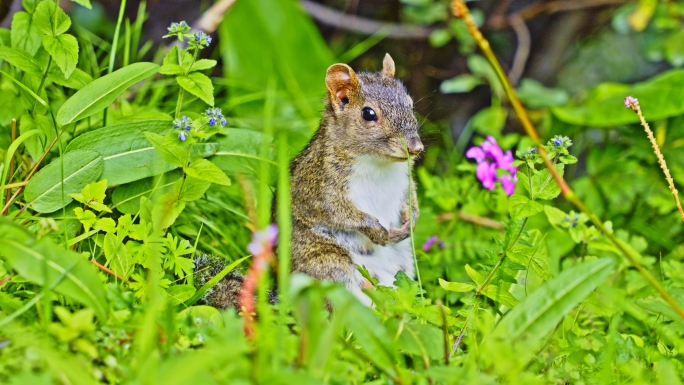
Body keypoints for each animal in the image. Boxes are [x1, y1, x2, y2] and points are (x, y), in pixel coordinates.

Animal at [192, 53, 424, 306]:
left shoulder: (405, 180)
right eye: (368, 114)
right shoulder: (318, 187)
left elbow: (412, 198)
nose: (416, 148)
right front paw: (376, 230)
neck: (380, 163)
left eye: (410, 104)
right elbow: (339, 213)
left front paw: (410, 223)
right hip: (328, 267)